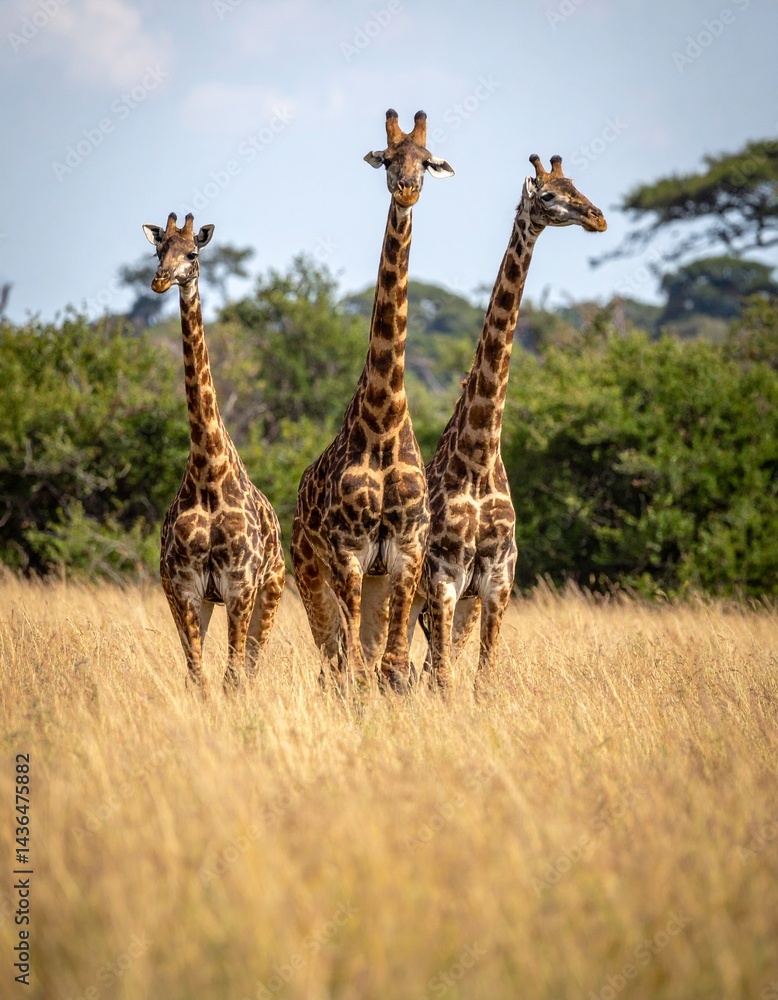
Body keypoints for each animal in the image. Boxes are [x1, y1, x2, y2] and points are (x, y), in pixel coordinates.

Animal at [142, 212, 285, 694]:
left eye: (192, 253)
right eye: (158, 249)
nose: (160, 280)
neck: (208, 471)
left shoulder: (240, 586)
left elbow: (233, 676)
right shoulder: (184, 586)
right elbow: (197, 677)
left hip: (272, 589)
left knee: (252, 665)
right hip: (199, 599)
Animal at [291, 109, 454, 694]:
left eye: (426, 162)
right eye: (386, 159)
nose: (406, 189)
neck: (383, 420)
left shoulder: (406, 553)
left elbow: (393, 669)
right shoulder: (348, 554)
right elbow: (361, 672)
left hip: (378, 582)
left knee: (362, 658)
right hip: (310, 573)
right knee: (334, 661)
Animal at [411, 154, 607, 694]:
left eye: (578, 185)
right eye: (549, 195)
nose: (598, 218)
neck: (478, 460)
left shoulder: (497, 584)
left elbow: (483, 680)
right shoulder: (444, 580)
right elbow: (444, 679)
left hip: (462, 605)